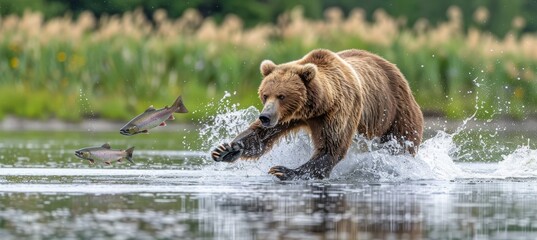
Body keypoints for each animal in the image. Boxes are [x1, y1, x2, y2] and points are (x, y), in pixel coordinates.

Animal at [209, 49, 422, 180]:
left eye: (282, 96)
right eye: (265, 94)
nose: (265, 117)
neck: (317, 106)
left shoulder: (340, 110)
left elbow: (331, 147)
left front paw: (284, 171)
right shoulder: (290, 117)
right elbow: (262, 137)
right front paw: (226, 149)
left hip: (397, 114)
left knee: (401, 143)